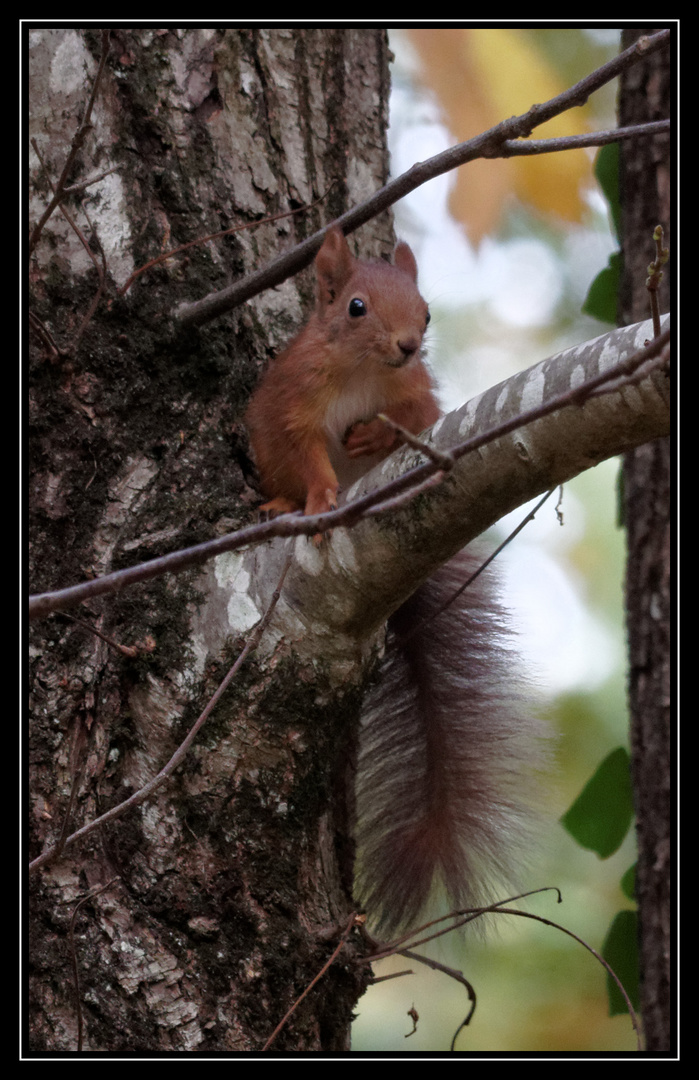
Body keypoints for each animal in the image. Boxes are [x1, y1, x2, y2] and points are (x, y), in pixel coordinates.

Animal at [246, 230, 546, 937]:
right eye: (356, 307)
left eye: (427, 312)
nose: (409, 345)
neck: (365, 373)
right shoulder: (293, 407)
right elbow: (308, 458)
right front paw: (319, 499)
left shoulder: (418, 397)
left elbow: (415, 415)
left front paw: (374, 434)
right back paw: (280, 506)